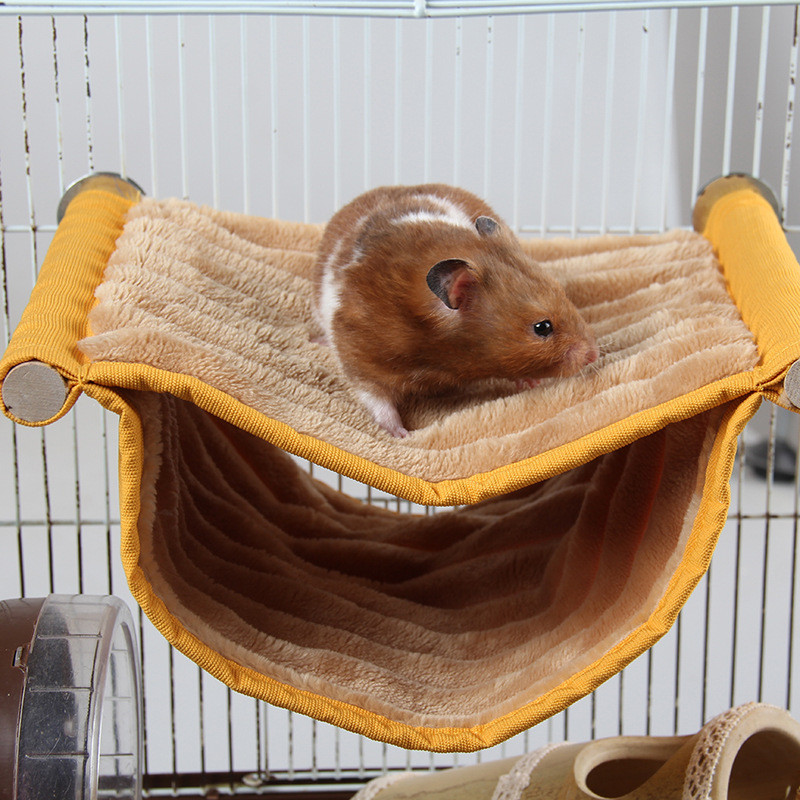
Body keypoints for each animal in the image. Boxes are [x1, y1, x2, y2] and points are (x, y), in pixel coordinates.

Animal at [313, 183, 598, 438]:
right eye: (542, 327)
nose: (593, 355)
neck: (445, 357)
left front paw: (530, 382)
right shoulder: (359, 352)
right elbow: (376, 398)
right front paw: (403, 435)